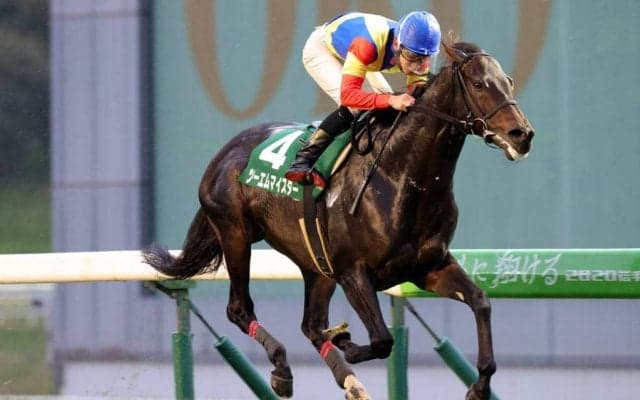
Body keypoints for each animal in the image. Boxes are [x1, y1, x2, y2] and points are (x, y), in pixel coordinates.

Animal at [143, 41, 534, 400]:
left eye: (509, 81)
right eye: (480, 84)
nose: (523, 135)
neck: (400, 177)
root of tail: (223, 153)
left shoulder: (428, 267)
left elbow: (480, 301)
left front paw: (480, 386)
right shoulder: (353, 272)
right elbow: (382, 340)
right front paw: (345, 340)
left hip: (315, 264)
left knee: (311, 325)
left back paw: (347, 380)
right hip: (236, 235)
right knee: (241, 309)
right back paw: (283, 370)